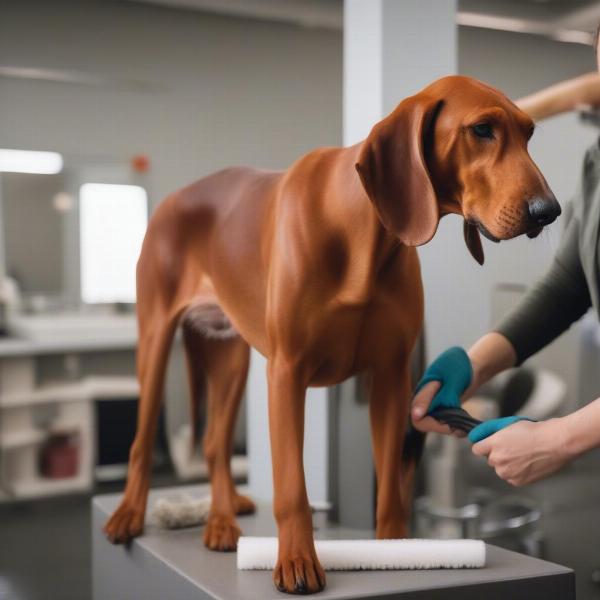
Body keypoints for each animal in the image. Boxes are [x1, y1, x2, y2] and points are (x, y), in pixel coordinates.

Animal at [103, 76, 556, 596]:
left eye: (529, 133)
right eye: (481, 129)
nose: (549, 211)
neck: (362, 233)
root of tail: (176, 196)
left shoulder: (391, 376)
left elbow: (390, 486)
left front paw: (396, 550)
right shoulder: (286, 373)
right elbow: (292, 488)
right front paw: (297, 559)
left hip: (232, 358)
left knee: (216, 443)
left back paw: (221, 518)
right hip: (156, 342)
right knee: (142, 442)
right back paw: (130, 514)